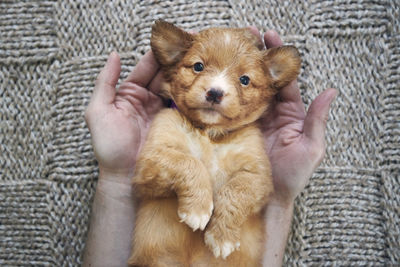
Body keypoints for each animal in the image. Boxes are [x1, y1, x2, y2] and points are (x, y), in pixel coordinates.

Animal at [128, 19, 300, 266]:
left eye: (244, 80)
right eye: (198, 66)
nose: (215, 93)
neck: (210, 135)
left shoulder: (258, 177)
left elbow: (235, 191)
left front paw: (221, 237)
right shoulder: (150, 163)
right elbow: (188, 162)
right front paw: (198, 209)